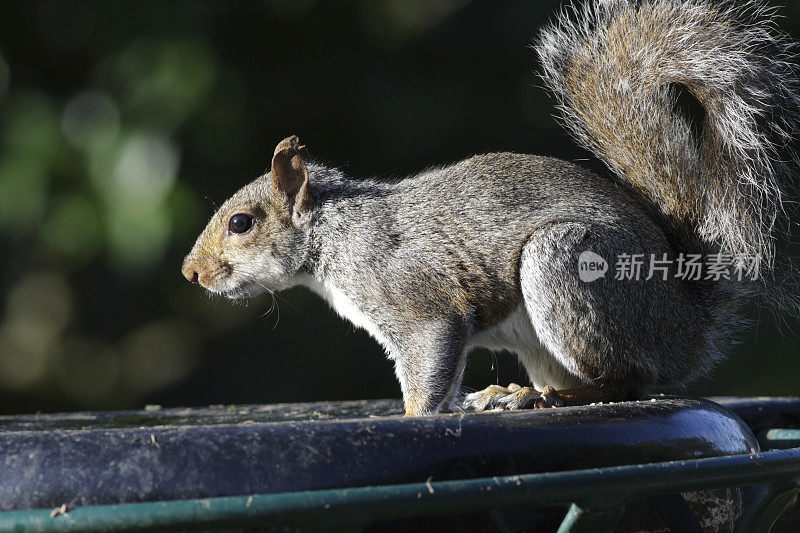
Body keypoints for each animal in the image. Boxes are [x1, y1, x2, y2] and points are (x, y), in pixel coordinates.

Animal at [181, 0, 800, 416]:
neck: (338, 234)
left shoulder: (416, 301)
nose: (191, 273)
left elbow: (430, 362)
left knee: (627, 380)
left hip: (568, 267)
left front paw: (414, 417)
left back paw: (550, 397)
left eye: (241, 223)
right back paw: (518, 390)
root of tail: (687, 322)